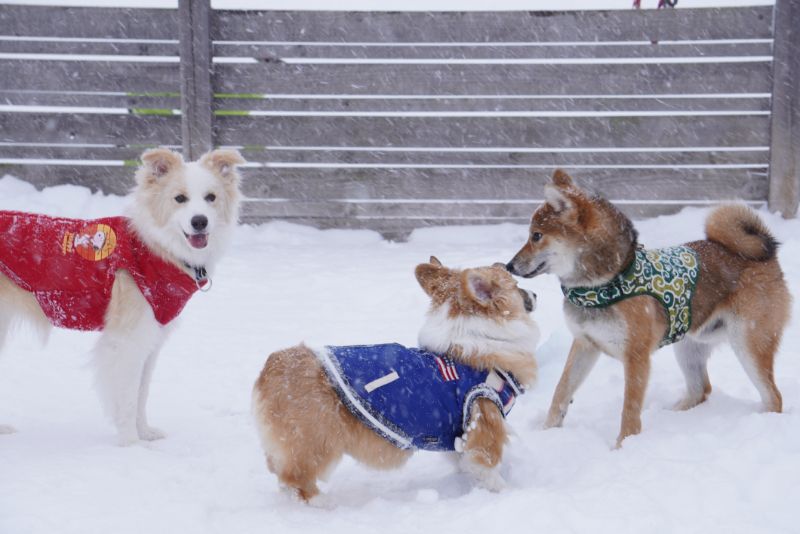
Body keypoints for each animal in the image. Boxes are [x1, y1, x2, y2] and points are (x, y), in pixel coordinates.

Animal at [0, 147, 244, 444]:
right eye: (180, 198)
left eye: (211, 197)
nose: (200, 221)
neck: (155, 249)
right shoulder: (126, 341)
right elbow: (127, 397)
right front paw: (131, 443)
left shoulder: (149, 341)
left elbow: (141, 393)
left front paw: (145, 433)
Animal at [253, 262, 540, 504]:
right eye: (516, 285)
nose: (536, 294)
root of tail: (273, 366)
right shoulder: (484, 424)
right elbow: (489, 470)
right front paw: (507, 494)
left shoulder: (457, 437)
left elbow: (465, 463)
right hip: (318, 445)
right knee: (295, 482)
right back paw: (323, 504)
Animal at [506, 171, 788, 448]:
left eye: (536, 236)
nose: (509, 266)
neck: (606, 282)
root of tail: (765, 257)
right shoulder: (585, 344)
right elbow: (561, 391)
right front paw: (546, 433)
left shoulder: (636, 356)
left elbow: (629, 409)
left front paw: (623, 447)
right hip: (688, 346)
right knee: (701, 390)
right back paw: (672, 415)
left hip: (748, 343)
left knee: (773, 397)